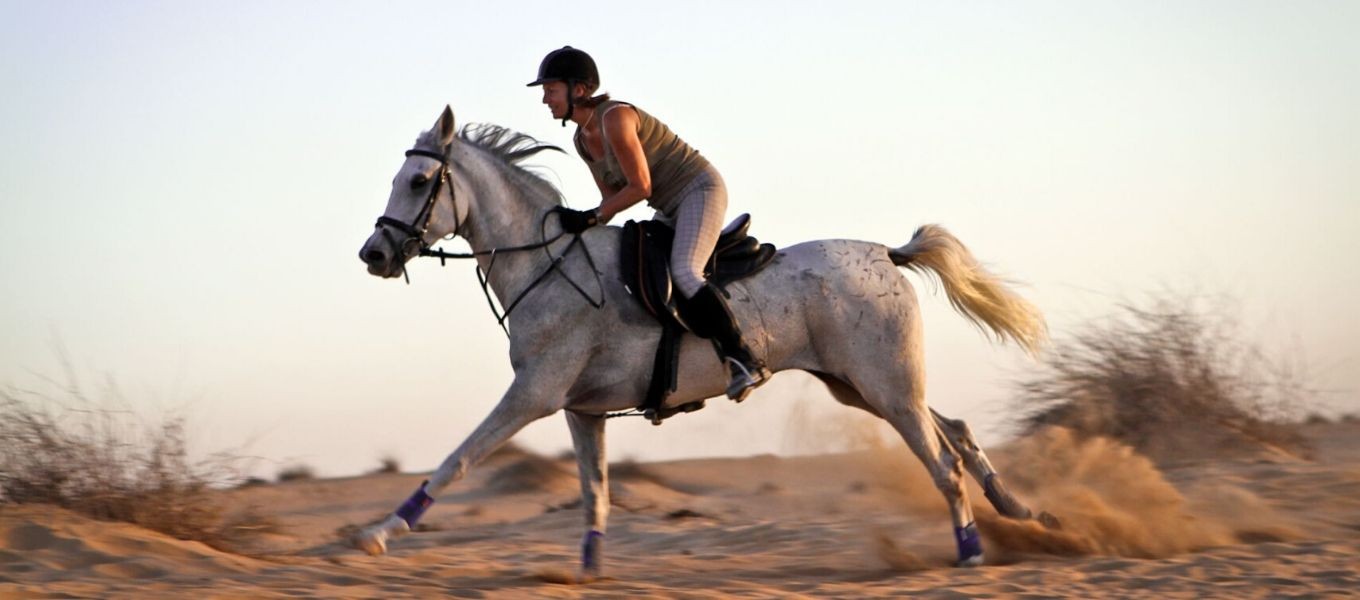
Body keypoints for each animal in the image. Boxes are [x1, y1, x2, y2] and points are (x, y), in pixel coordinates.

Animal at [355, 106, 1051, 574]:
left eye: (418, 183)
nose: (374, 254)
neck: (549, 264)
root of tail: (887, 253)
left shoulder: (533, 395)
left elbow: (459, 459)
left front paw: (381, 533)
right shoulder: (582, 410)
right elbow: (595, 495)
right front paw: (588, 572)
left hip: (886, 386)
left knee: (944, 463)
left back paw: (972, 552)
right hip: (863, 384)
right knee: (955, 429)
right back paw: (1022, 511)